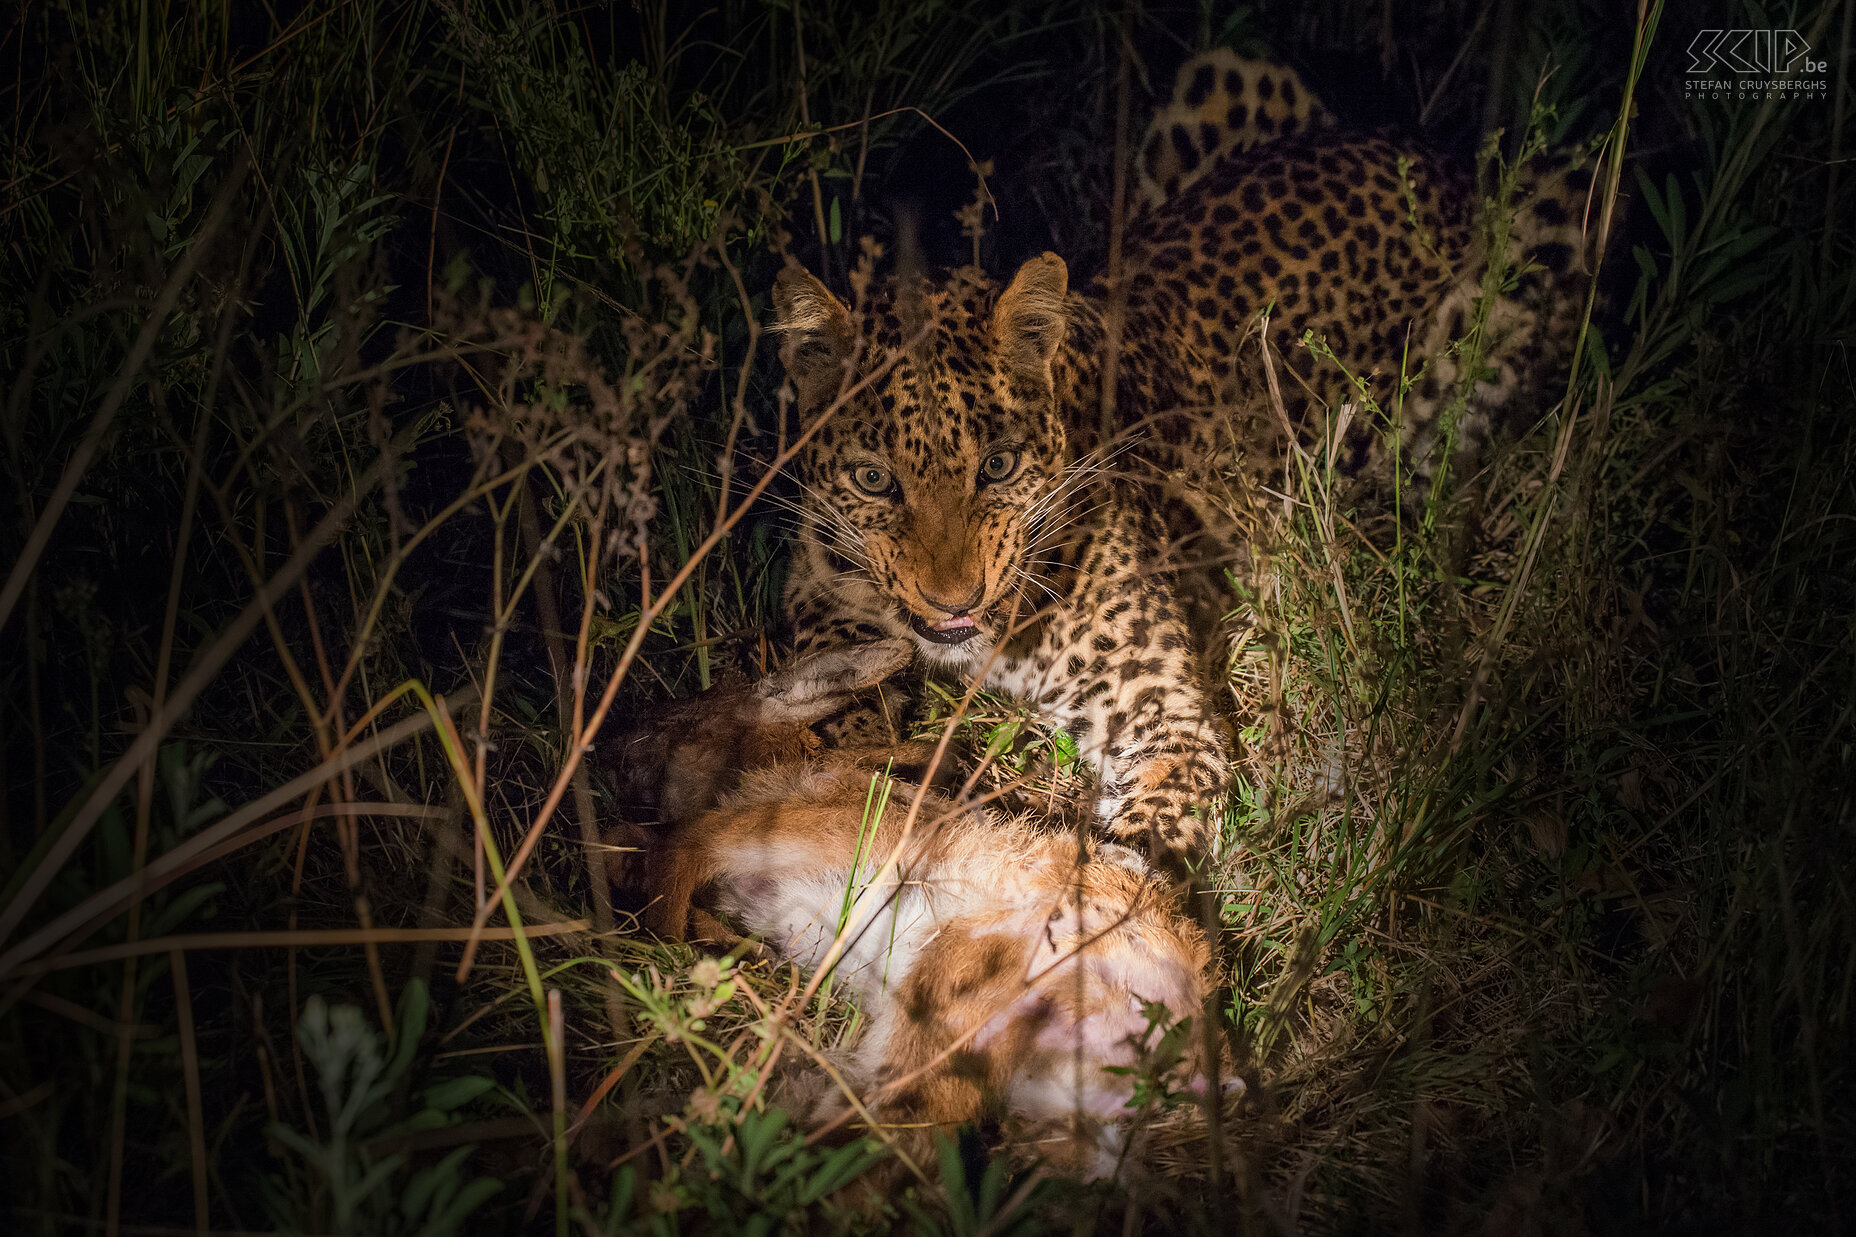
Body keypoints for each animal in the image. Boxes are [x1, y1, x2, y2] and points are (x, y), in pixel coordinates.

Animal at [760, 48, 1603, 865]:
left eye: (997, 466)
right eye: (875, 479)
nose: (954, 601)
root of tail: (1433, 153)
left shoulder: (1161, 705)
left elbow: (1154, 825)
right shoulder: (820, 591)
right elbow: (835, 683)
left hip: (1558, 212)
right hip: (1226, 72)